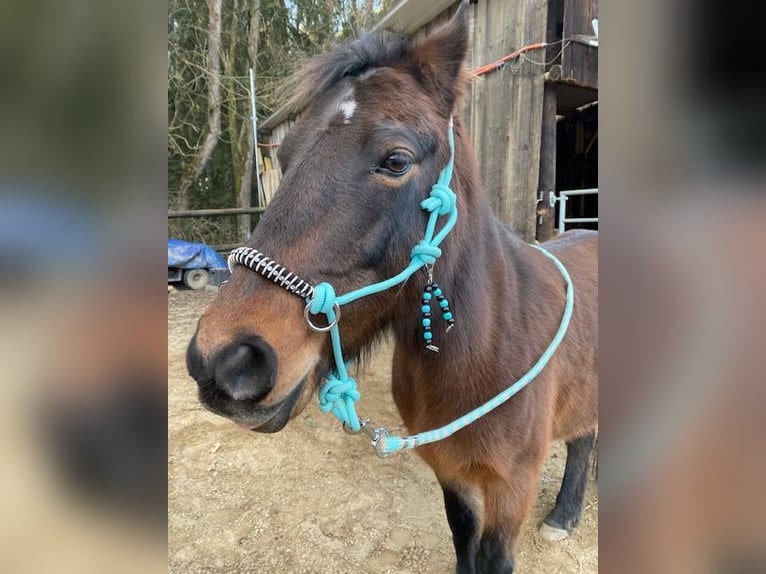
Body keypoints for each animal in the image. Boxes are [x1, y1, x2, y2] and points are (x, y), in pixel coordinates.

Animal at [188, 3, 600, 572]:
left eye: (396, 160)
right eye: (286, 157)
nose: (224, 360)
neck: (491, 348)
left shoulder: (511, 488)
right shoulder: (450, 474)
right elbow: (463, 543)